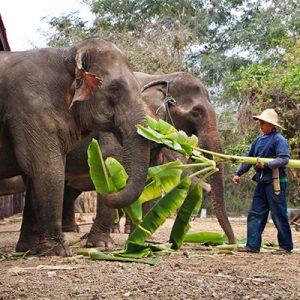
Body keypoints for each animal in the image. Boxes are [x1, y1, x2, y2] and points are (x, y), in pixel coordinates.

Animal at [0, 37, 149, 255]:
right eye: (115, 89)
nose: (108, 192)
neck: (67, 54)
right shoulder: (30, 108)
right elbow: (47, 169)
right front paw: (58, 251)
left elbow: (38, 172)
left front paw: (29, 250)